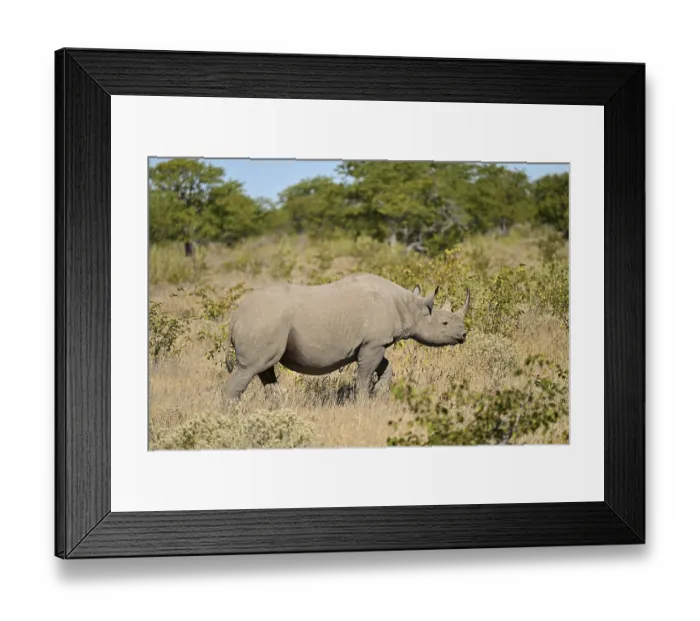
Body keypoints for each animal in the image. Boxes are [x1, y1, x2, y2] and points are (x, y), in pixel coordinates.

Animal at [224, 272, 470, 400]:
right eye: (445, 323)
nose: (464, 335)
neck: (408, 306)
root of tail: (235, 317)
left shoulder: (374, 342)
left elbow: (386, 366)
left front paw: (379, 392)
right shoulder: (373, 343)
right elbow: (363, 375)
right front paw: (362, 402)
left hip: (264, 324)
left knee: (264, 368)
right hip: (263, 322)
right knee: (249, 368)